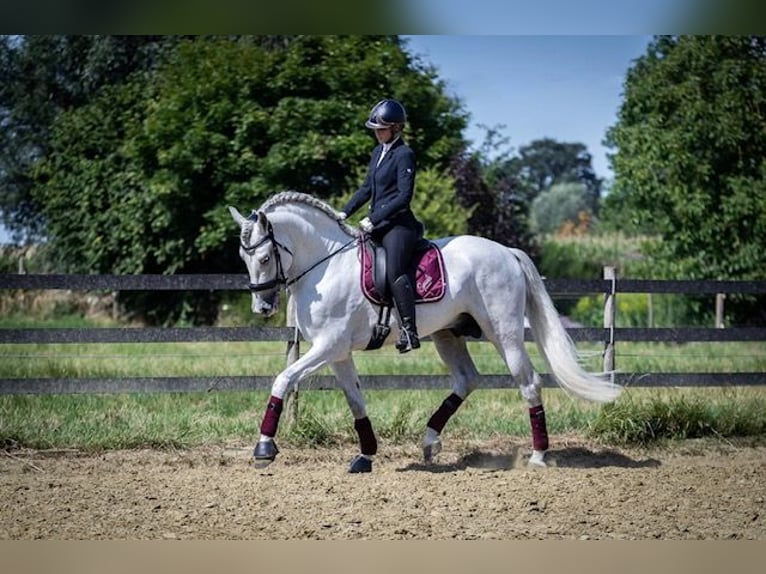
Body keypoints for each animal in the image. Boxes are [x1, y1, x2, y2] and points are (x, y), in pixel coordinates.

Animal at [229, 191, 621, 473]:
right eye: (243, 257)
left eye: (264, 258)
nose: (262, 308)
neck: (326, 265)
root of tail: (506, 252)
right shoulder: (337, 352)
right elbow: (356, 400)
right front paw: (365, 456)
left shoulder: (328, 346)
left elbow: (283, 378)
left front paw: (264, 447)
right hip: (448, 334)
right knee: (467, 379)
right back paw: (430, 442)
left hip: (504, 333)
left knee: (528, 382)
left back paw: (538, 457)